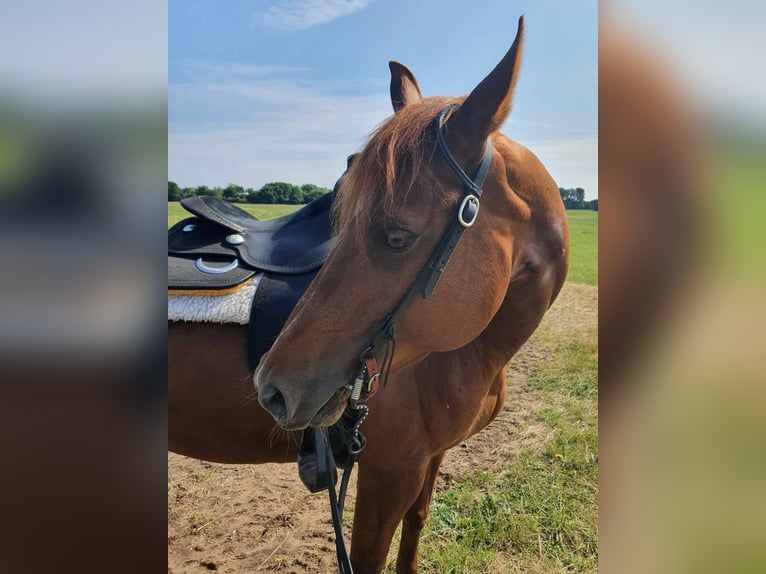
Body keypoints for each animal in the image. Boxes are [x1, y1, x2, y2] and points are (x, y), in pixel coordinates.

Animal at [170, 15, 568, 572]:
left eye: (397, 236)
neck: (475, 355)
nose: (272, 388)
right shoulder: (387, 474)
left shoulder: (428, 460)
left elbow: (416, 527)